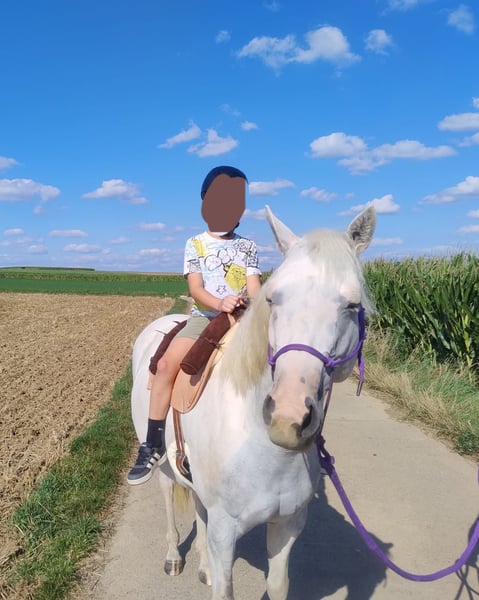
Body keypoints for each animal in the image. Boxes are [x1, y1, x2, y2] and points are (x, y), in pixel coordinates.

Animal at [130, 205, 376, 600]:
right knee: (169, 496)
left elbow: (277, 585)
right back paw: (173, 556)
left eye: (353, 305)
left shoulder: (287, 526)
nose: (287, 417)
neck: (264, 448)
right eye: (273, 298)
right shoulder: (225, 532)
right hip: (163, 464)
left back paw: (202, 567)